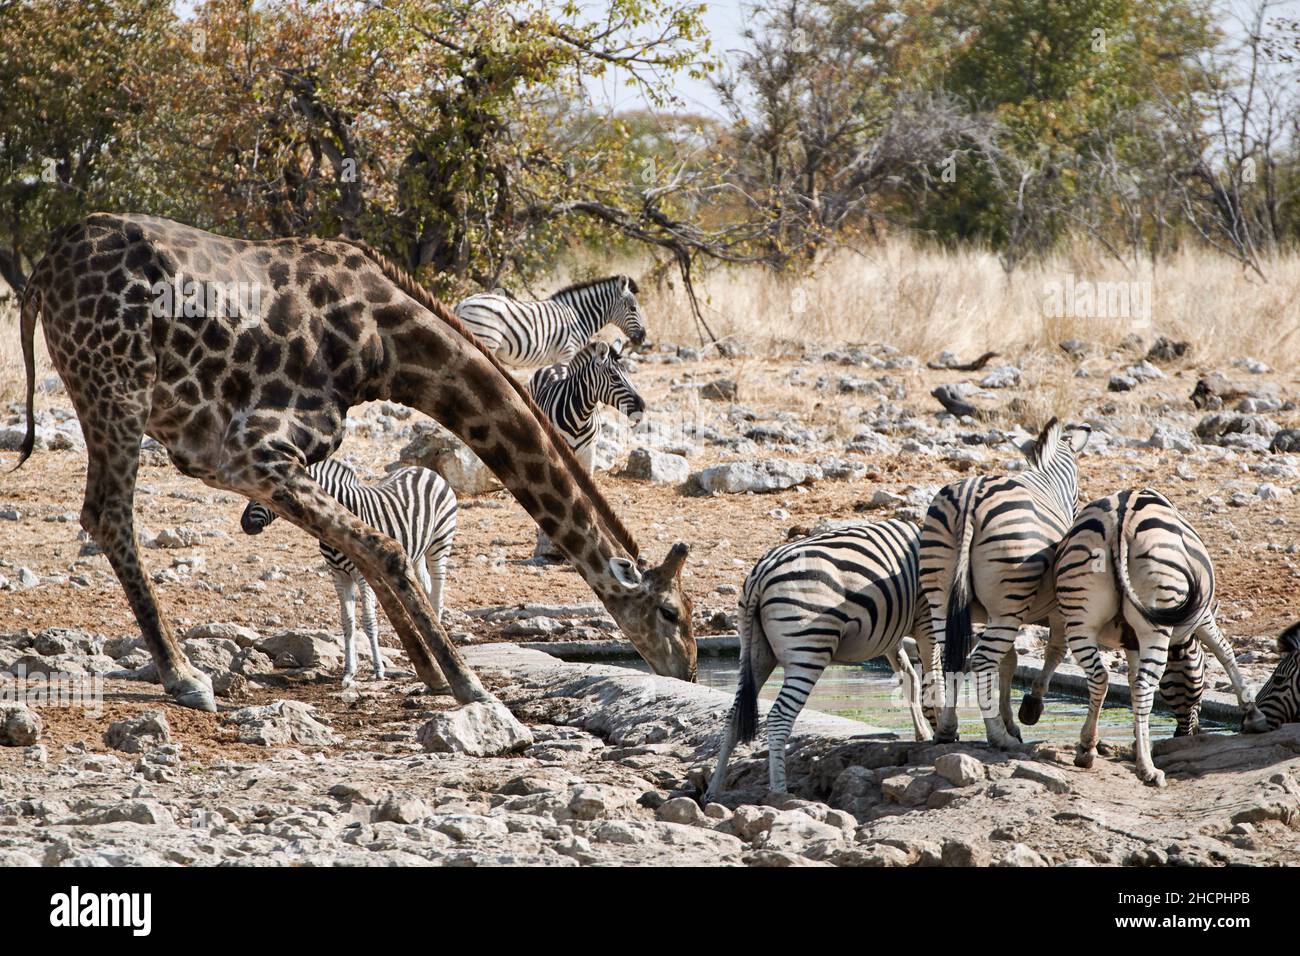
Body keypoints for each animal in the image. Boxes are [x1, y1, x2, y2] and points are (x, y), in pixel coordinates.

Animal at [241, 460, 460, 686]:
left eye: (267, 490)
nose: (245, 524)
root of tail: (423, 469)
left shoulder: (365, 573)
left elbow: (368, 621)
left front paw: (378, 670)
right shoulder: (338, 575)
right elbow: (347, 622)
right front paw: (348, 672)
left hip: (440, 542)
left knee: (437, 593)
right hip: (415, 555)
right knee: (423, 591)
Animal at [454, 277, 647, 369]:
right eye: (633, 308)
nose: (643, 337)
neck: (578, 316)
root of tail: (463, 303)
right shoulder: (568, 353)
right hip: (486, 339)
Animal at [707, 520, 941, 806]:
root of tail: (761, 575)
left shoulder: (890, 634)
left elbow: (910, 678)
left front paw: (924, 732)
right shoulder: (925, 617)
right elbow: (933, 672)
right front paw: (943, 729)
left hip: (754, 653)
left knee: (733, 716)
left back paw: (713, 791)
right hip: (809, 647)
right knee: (778, 717)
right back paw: (780, 792)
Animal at [1050, 486, 1263, 785]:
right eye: (1201, 672)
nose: (1183, 736)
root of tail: (1120, 520)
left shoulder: (1131, 640)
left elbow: (1130, 679)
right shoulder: (1200, 615)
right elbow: (1224, 650)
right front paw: (1253, 714)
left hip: (1080, 619)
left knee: (1100, 677)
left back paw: (1087, 748)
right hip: (1156, 620)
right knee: (1142, 685)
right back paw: (1148, 769)